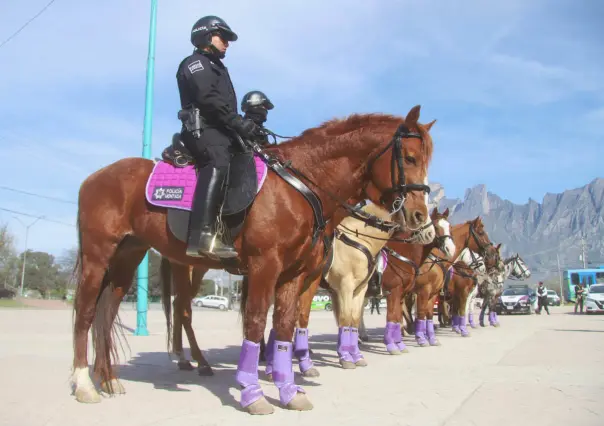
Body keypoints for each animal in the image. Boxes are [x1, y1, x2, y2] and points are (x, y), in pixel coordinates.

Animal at [72, 106, 434, 416]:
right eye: (410, 157)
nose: (420, 217)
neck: (299, 186)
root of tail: (94, 177)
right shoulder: (265, 267)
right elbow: (257, 321)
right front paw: (252, 392)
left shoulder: (294, 275)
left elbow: (286, 325)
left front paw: (288, 390)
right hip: (101, 256)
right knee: (90, 311)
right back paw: (85, 383)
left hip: (128, 258)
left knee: (107, 312)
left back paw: (108, 378)